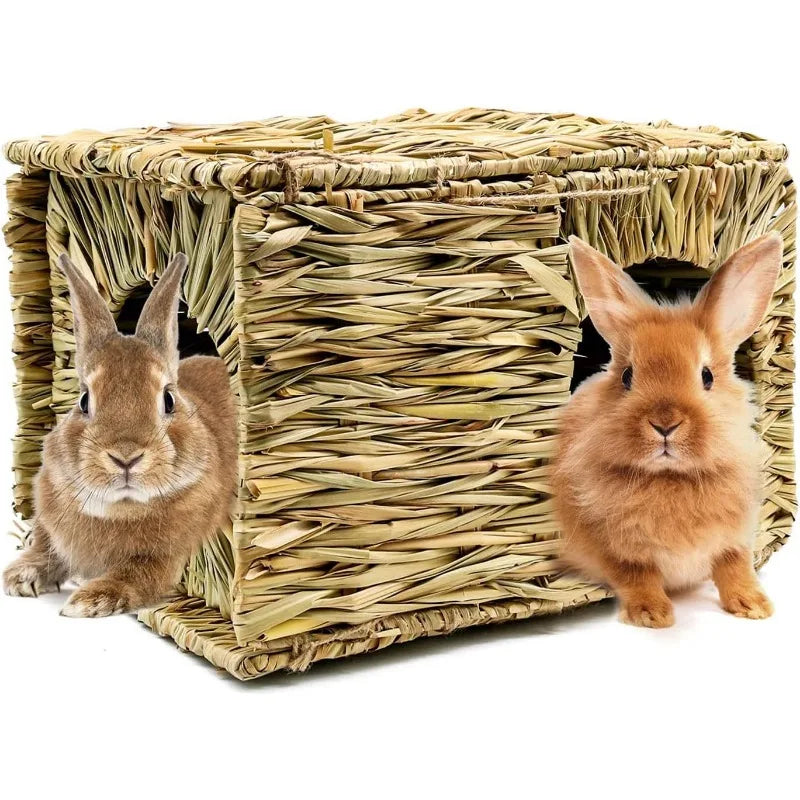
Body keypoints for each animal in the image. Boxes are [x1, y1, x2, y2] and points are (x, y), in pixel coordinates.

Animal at [2, 253, 238, 617]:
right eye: (84, 400)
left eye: (168, 399)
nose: (126, 457)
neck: (121, 508)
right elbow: (46, 547)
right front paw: (20, 576)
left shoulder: (163, 558)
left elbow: (136, 575)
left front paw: (88, 601)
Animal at [553, 234, 783, 628]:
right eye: (627, 376)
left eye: (707, 376)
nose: (664, 423)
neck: (671, 477)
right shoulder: (614, 548)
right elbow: (636, 574)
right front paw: (652, 614)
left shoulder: (735, 538)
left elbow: (735, 566)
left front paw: (754, 606)